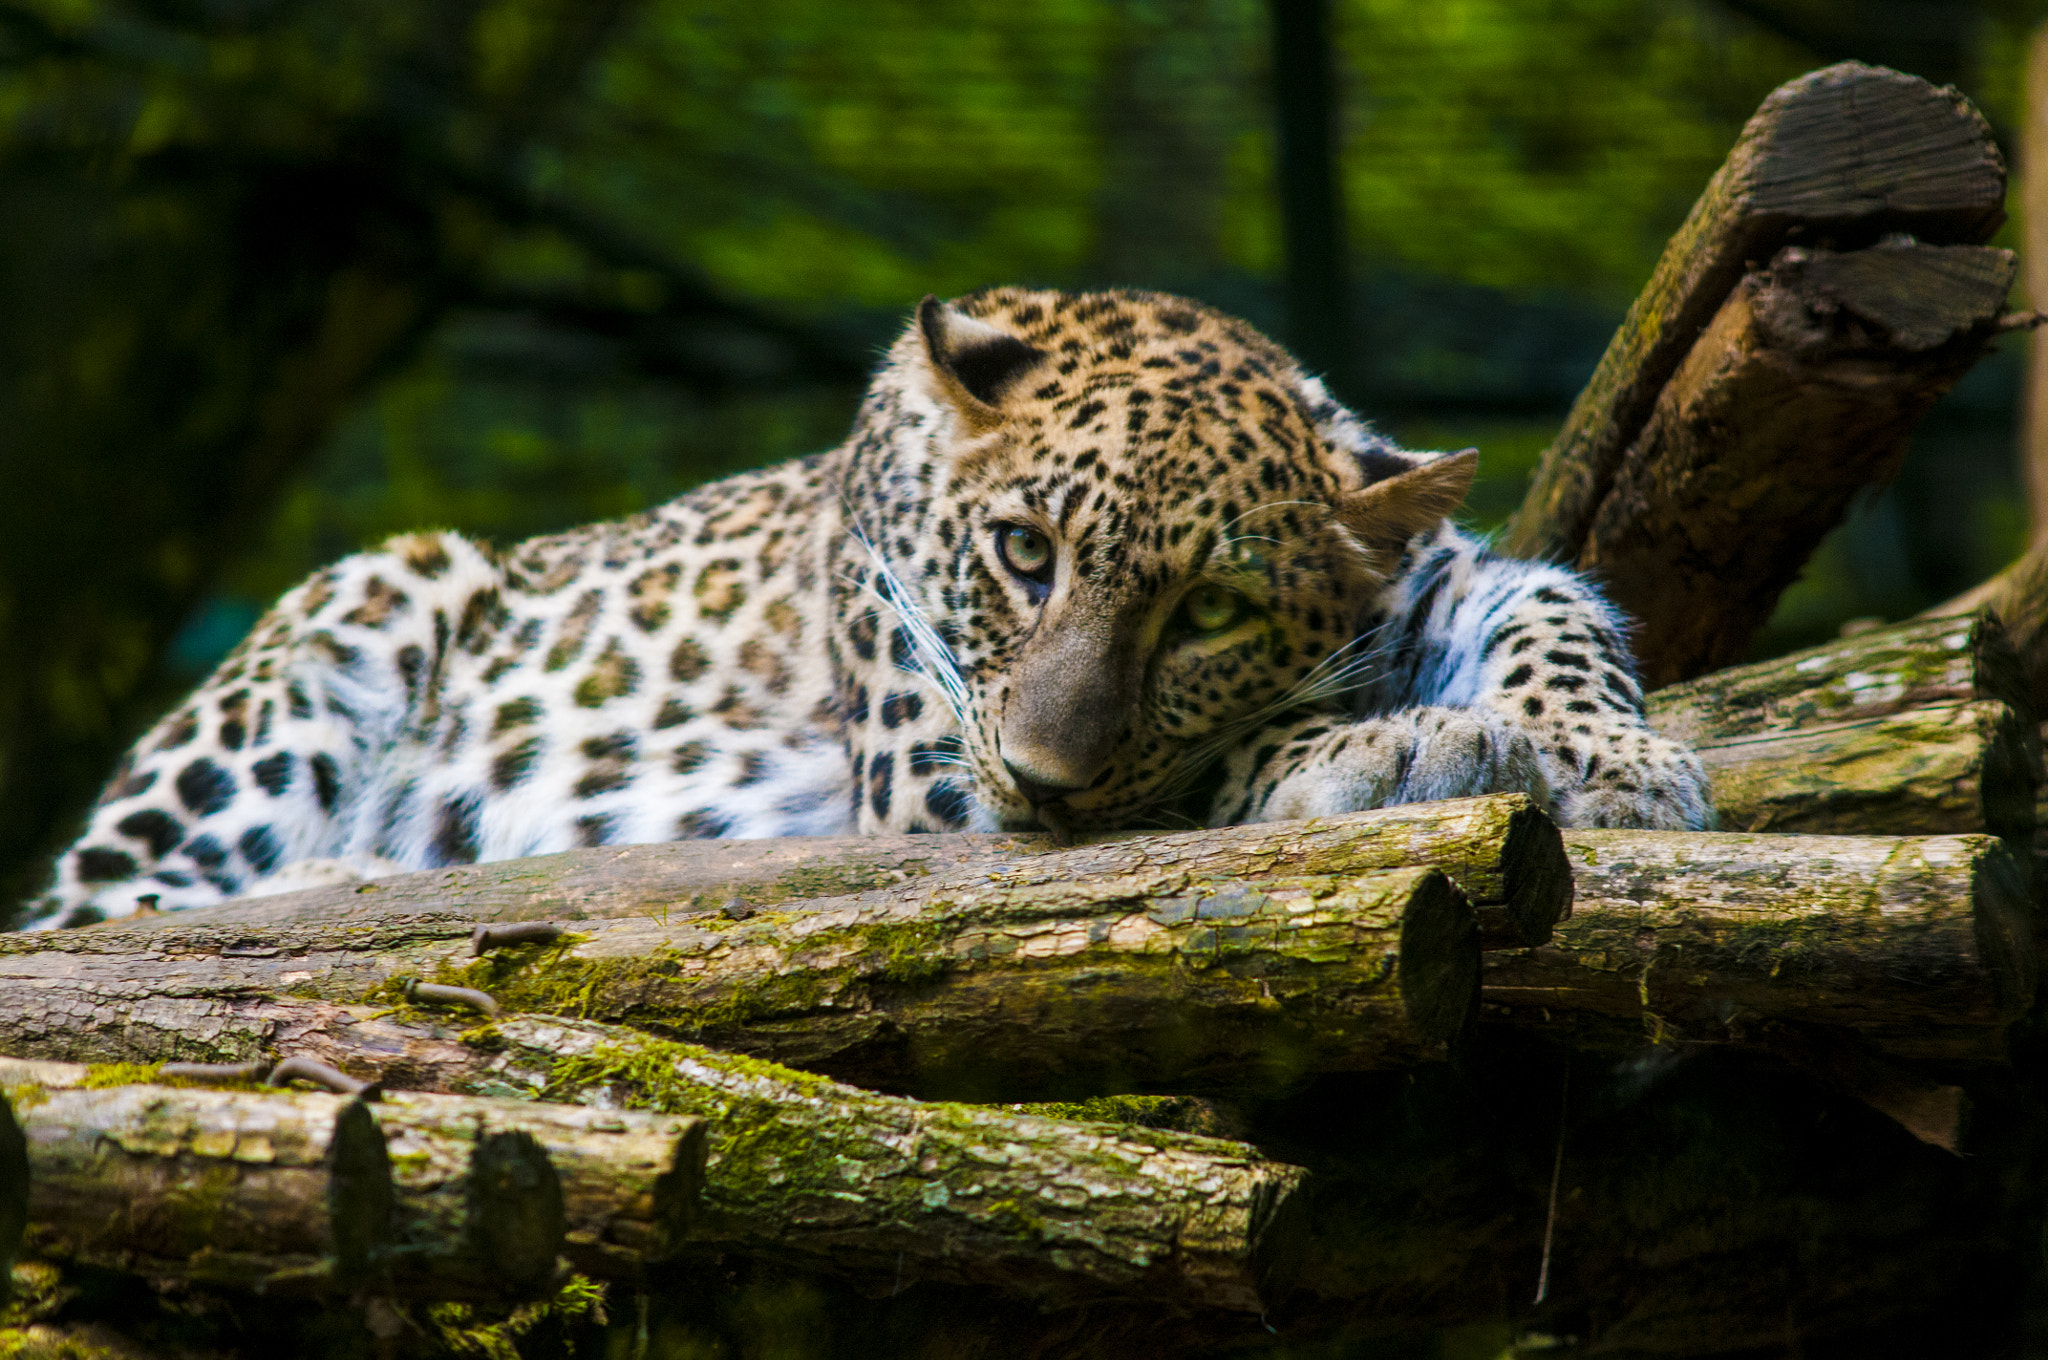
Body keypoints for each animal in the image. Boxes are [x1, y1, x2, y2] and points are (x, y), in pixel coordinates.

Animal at [24, 284, 1712, 925]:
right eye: (1023, 554)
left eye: (1213, 615)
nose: (1045, 776)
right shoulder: (932, 775)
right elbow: (1199, 772)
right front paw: (1389, 749)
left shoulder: (1447, 571)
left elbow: (1556, 607)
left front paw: (1621, 762)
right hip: (369, 600)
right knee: (98, 906)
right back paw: (347, 879)